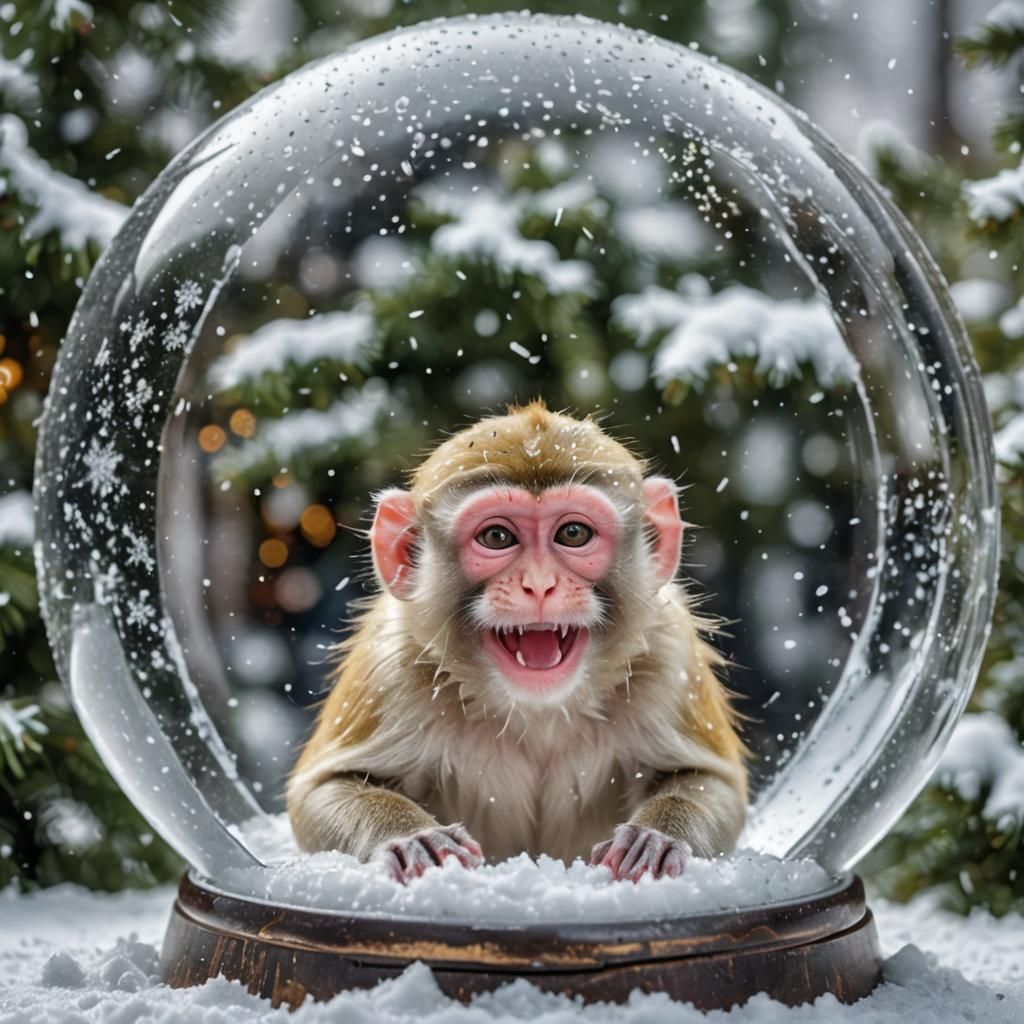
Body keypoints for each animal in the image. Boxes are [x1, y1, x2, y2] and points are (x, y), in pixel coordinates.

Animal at [287, 401, 747, 883]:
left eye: (573, 534)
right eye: (497, 537)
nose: (540, 584)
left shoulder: (669, 656)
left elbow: (715, 782)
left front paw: (655, 838)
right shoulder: (390, 669)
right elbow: (320, 791)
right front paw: (412, 836)